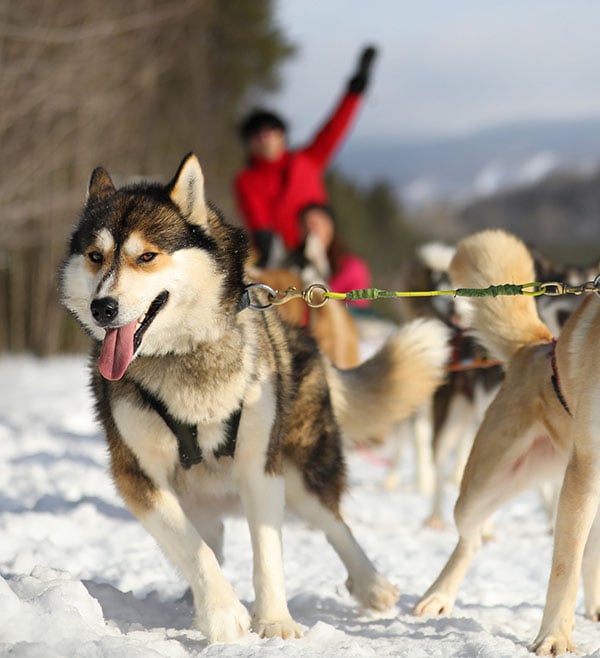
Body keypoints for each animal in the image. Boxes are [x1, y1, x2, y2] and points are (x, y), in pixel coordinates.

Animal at [59, 152, 450, 640]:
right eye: (95, 257)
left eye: (146, 256)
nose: (103, 307)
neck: (186, 356)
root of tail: (300, 333)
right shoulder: (138, 475)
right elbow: (192, 548)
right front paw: (222, 612)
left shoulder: (261, 466)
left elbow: (268, 553)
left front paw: (275, 621)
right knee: (209, 540)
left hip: (302, 466)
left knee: (334, 522)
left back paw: (370, 583)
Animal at [412, 228, 600, 652]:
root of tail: (536, 348)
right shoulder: (585, 474)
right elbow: (565, 569)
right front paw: (554, 637)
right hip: (483, 487)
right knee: (471, 538)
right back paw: (438, 595)